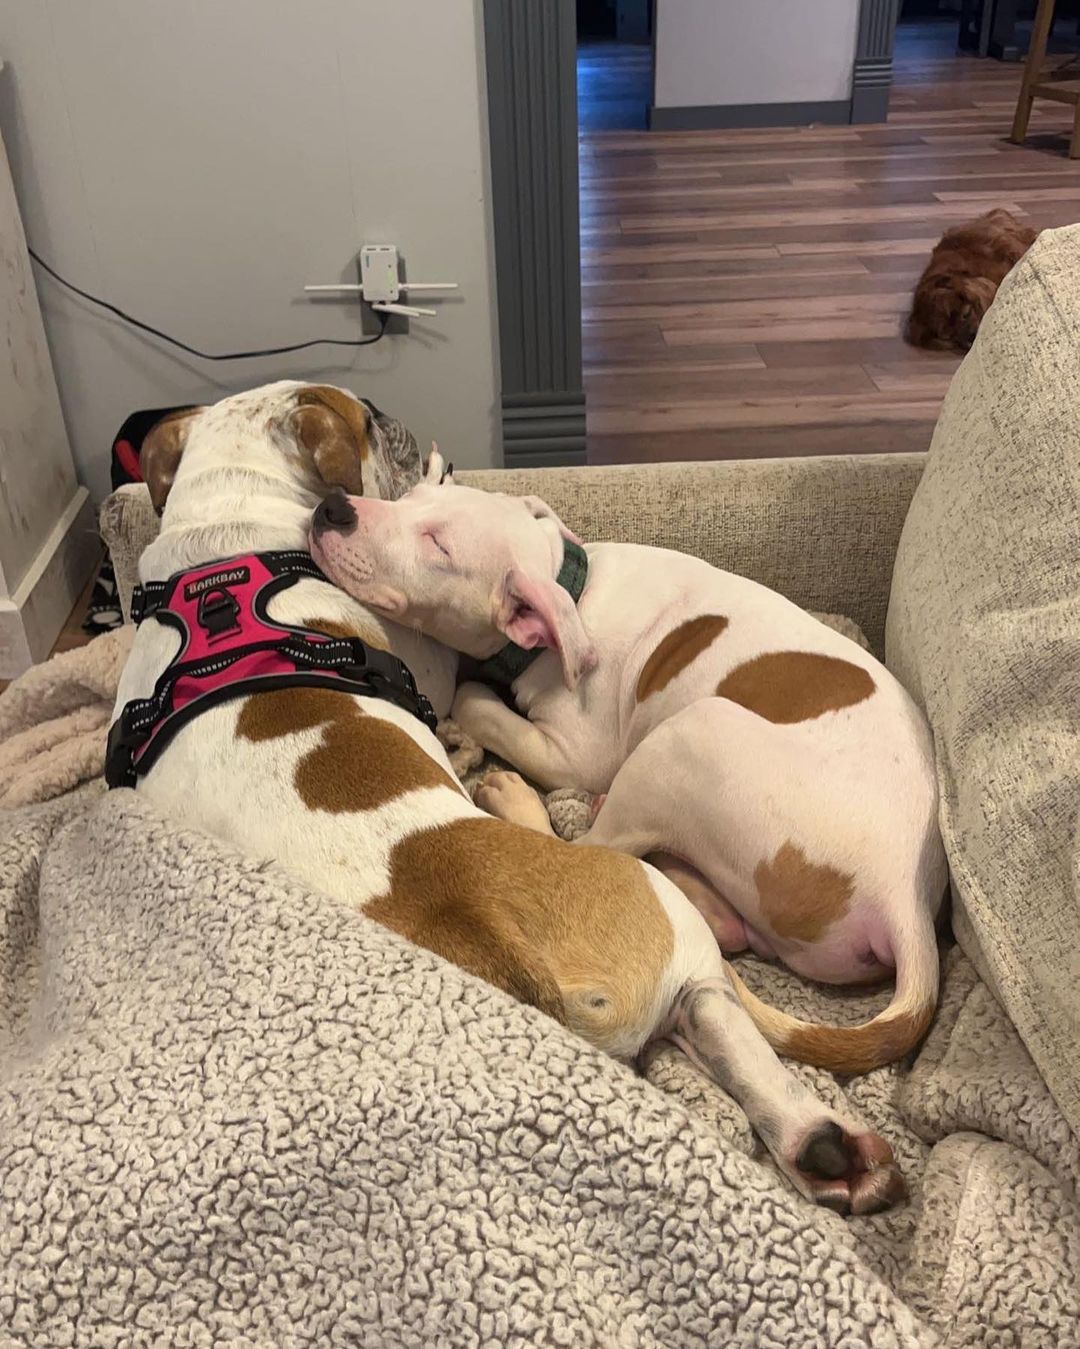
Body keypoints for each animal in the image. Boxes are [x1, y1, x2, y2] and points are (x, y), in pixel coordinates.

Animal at [307, 458, 949, 1079]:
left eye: (437, 545)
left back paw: (518, 799)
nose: (332, 508)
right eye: (410, 497)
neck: (571, 591)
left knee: (595, 845)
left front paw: (470, 707)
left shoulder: (572, 752)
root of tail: (908, 901)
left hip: (689, 735)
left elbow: (476, 700)